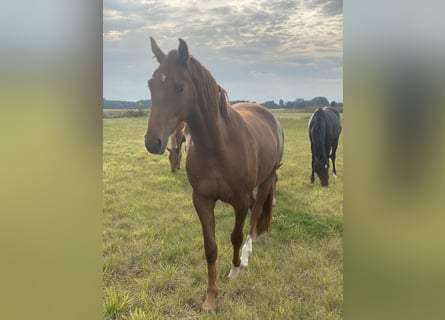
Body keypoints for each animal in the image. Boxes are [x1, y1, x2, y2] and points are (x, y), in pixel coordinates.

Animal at [146, 37, 284, 310]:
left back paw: (247, 254)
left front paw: (235, 269)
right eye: (151, 85)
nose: (152, 142)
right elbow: (210, 247)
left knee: (255, 215)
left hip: (266, 180)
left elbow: (235, 236)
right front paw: (211, 296)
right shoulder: (202, 200)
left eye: (179, 87)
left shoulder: (240, 202)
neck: (219, 146)